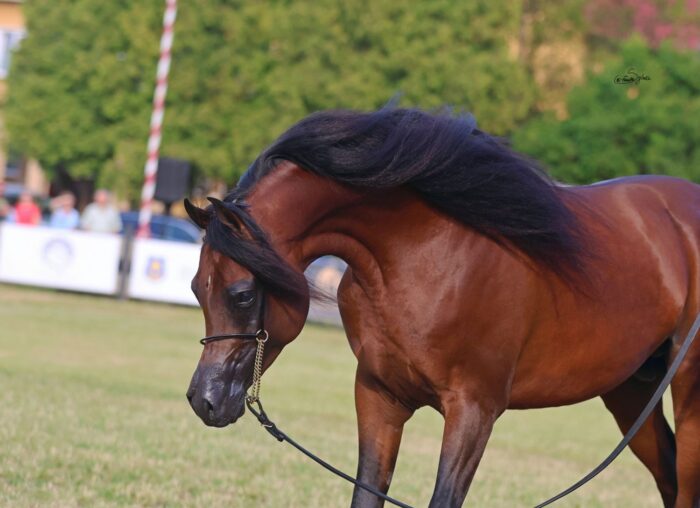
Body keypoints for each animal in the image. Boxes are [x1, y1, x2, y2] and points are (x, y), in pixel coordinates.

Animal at [184, 108, 700, 507]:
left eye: (242, 294)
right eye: (195, 288)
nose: (203, 400)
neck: (420, 256)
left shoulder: (474, 412)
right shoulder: (378, 397)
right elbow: (367, 491)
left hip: (688, 391)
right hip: (631, 392)